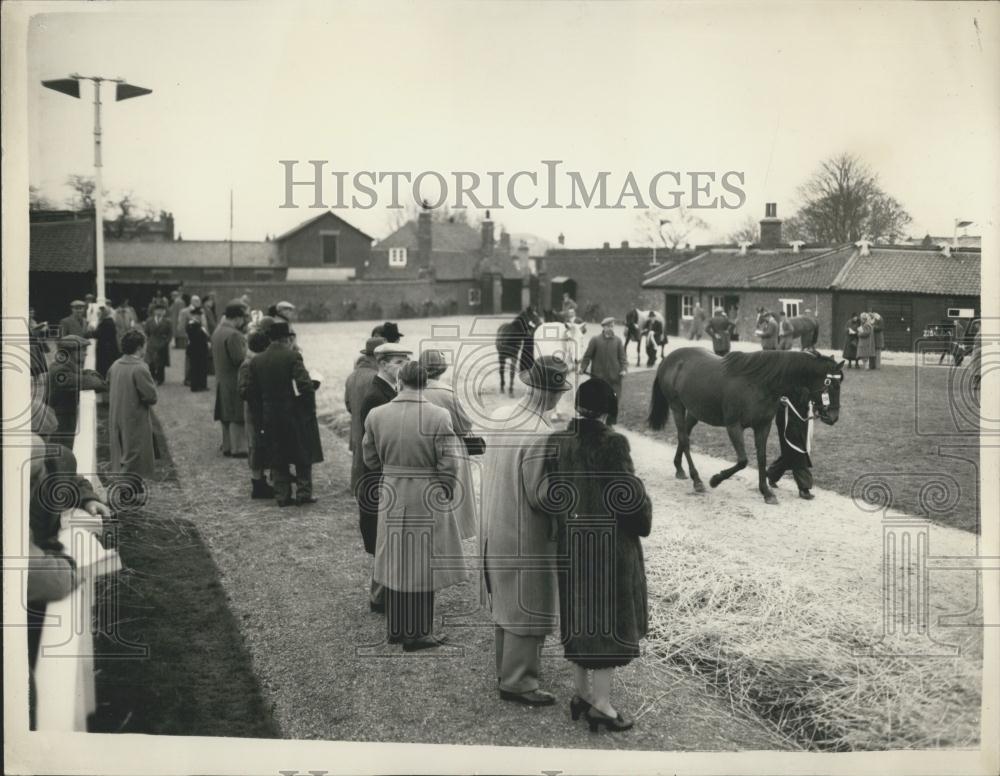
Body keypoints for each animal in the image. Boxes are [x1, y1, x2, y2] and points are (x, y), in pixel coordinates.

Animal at [648, 348, 844, 504]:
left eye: (839, 383)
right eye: (830, 384)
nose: (833, 417)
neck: (758, 383)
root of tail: (669, 359)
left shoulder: (763, 426)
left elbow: (762, 458)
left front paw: (766, 492)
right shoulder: (734, 426)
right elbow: (743, 460)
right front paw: (715, 480)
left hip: (694, 411)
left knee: (684, 436)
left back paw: (679, 469)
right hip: (676, 406)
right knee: (684, 439)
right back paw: (697, 480)